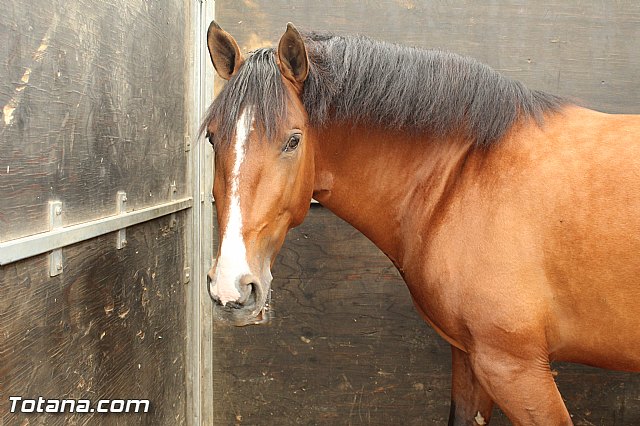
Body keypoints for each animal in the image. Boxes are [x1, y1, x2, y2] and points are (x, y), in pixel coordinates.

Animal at [202, 20, 640, 425]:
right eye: (211, 138)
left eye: (293, 140)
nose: (231, 287)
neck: (463, 174)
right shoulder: (470, 358)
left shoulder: (515, 368)